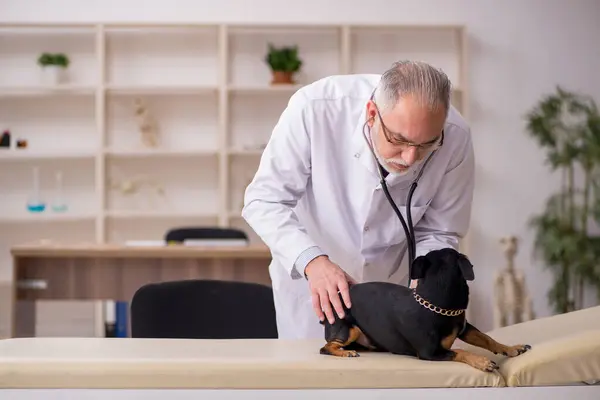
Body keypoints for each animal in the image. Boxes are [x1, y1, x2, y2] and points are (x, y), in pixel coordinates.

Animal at [318, 247, 528, 372]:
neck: (435, 305)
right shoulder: (430, 353)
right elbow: (460, 351)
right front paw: (482, 361)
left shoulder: (465, 329)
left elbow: (487, 338)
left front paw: (511, 349)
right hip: (350, 329)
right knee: (326, 348)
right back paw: (345, 353)